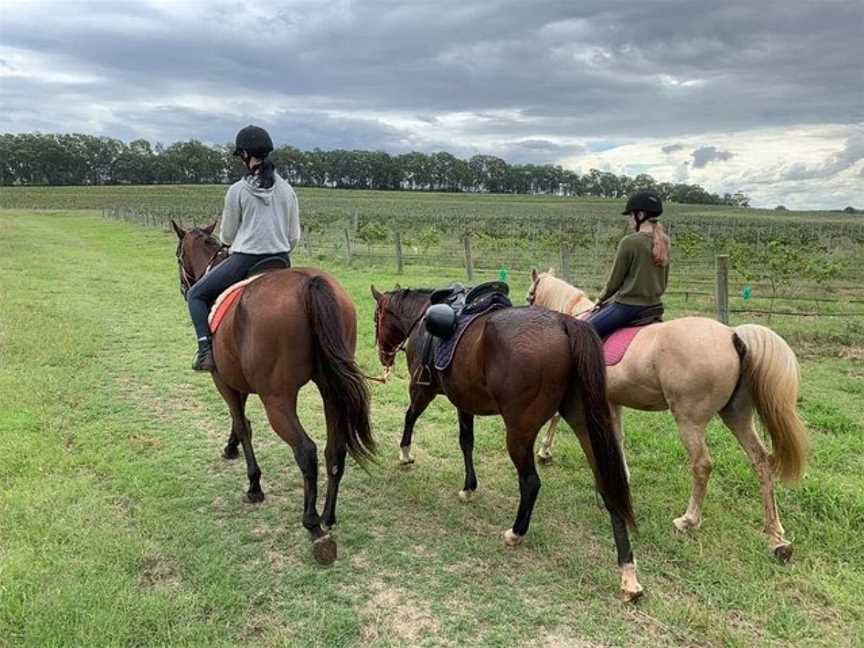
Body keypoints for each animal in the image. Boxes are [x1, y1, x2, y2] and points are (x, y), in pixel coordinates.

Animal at [172, 220, 374, 564]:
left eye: (178, 255)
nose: (185, 289)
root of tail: (312, 283)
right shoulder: (238, 380)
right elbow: (240, 423)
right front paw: (231, 448)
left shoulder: (222, 380)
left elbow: (242, 424)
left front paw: (253, 484)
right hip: (332, 391)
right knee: (334, 450)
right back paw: (328, 516)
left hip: (277, 399)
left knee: (306, 450)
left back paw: (313, 525)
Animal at [368, 286, 644, 600]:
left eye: (377, 317)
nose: (384, 356)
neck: (423, 318)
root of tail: (565, 323)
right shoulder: (464, 401)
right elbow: (466, 441)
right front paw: (469, 487)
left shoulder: (421, 389)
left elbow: (410, 417)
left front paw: (405, 454)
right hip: (585, 424)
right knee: (609, 486)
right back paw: (627, 569)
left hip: (519, 432)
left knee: (531, 482)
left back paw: (516, 533)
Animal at [528, 270, 808, 560]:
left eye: (530, 295)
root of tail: (733, 336)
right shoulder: (612, 400)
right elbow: (617, 438)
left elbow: (557, 418)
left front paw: (545, 452)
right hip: (737, 416)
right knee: (761, 462)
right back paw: (776, 537)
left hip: (689, 421)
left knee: (702, 465)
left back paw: (688, 520)